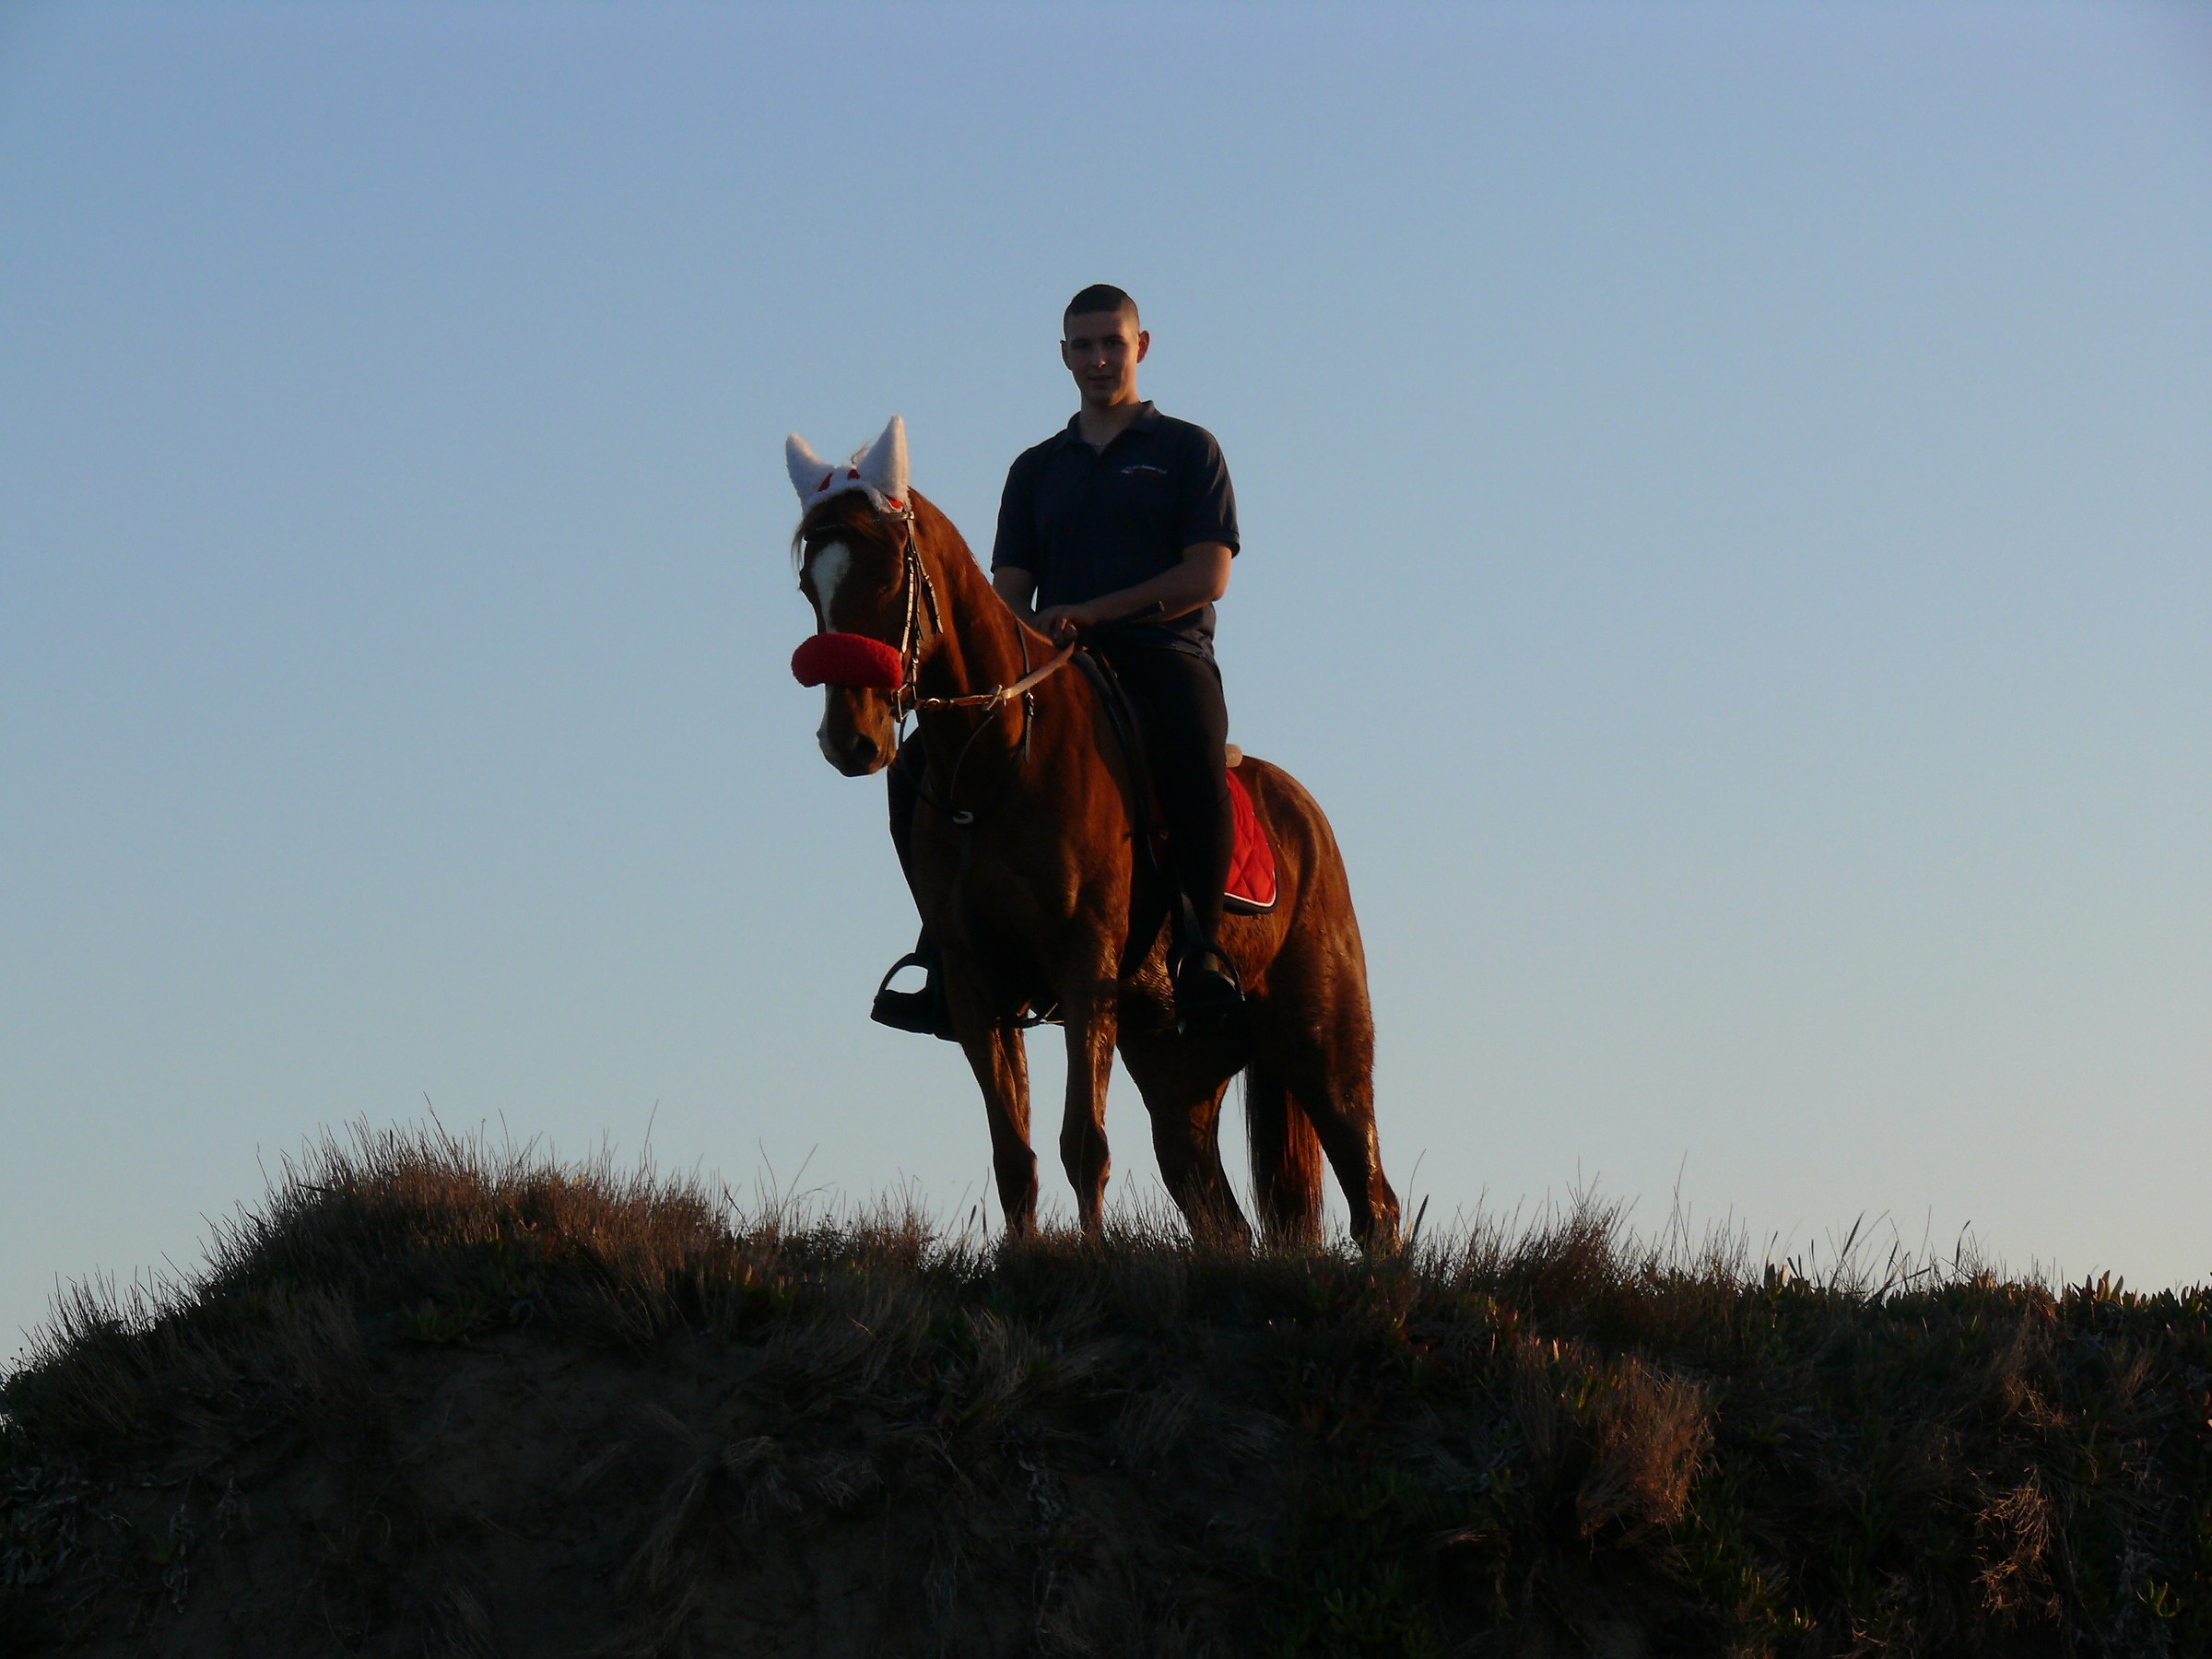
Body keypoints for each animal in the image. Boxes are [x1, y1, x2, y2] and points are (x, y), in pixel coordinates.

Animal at [785, 417, 1399, 1250]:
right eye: (809, 587)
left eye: (885, 578)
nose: (851, 740)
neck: (997, 762)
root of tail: (1307, 818)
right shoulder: (976, 983)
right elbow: (1014, 1154)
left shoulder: (1084, 967)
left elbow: (1084, 1143)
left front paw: (1092, 1259)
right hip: (1180, 1068)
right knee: (1221, 1218)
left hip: (1323, 1043)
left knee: (1375, 1203)